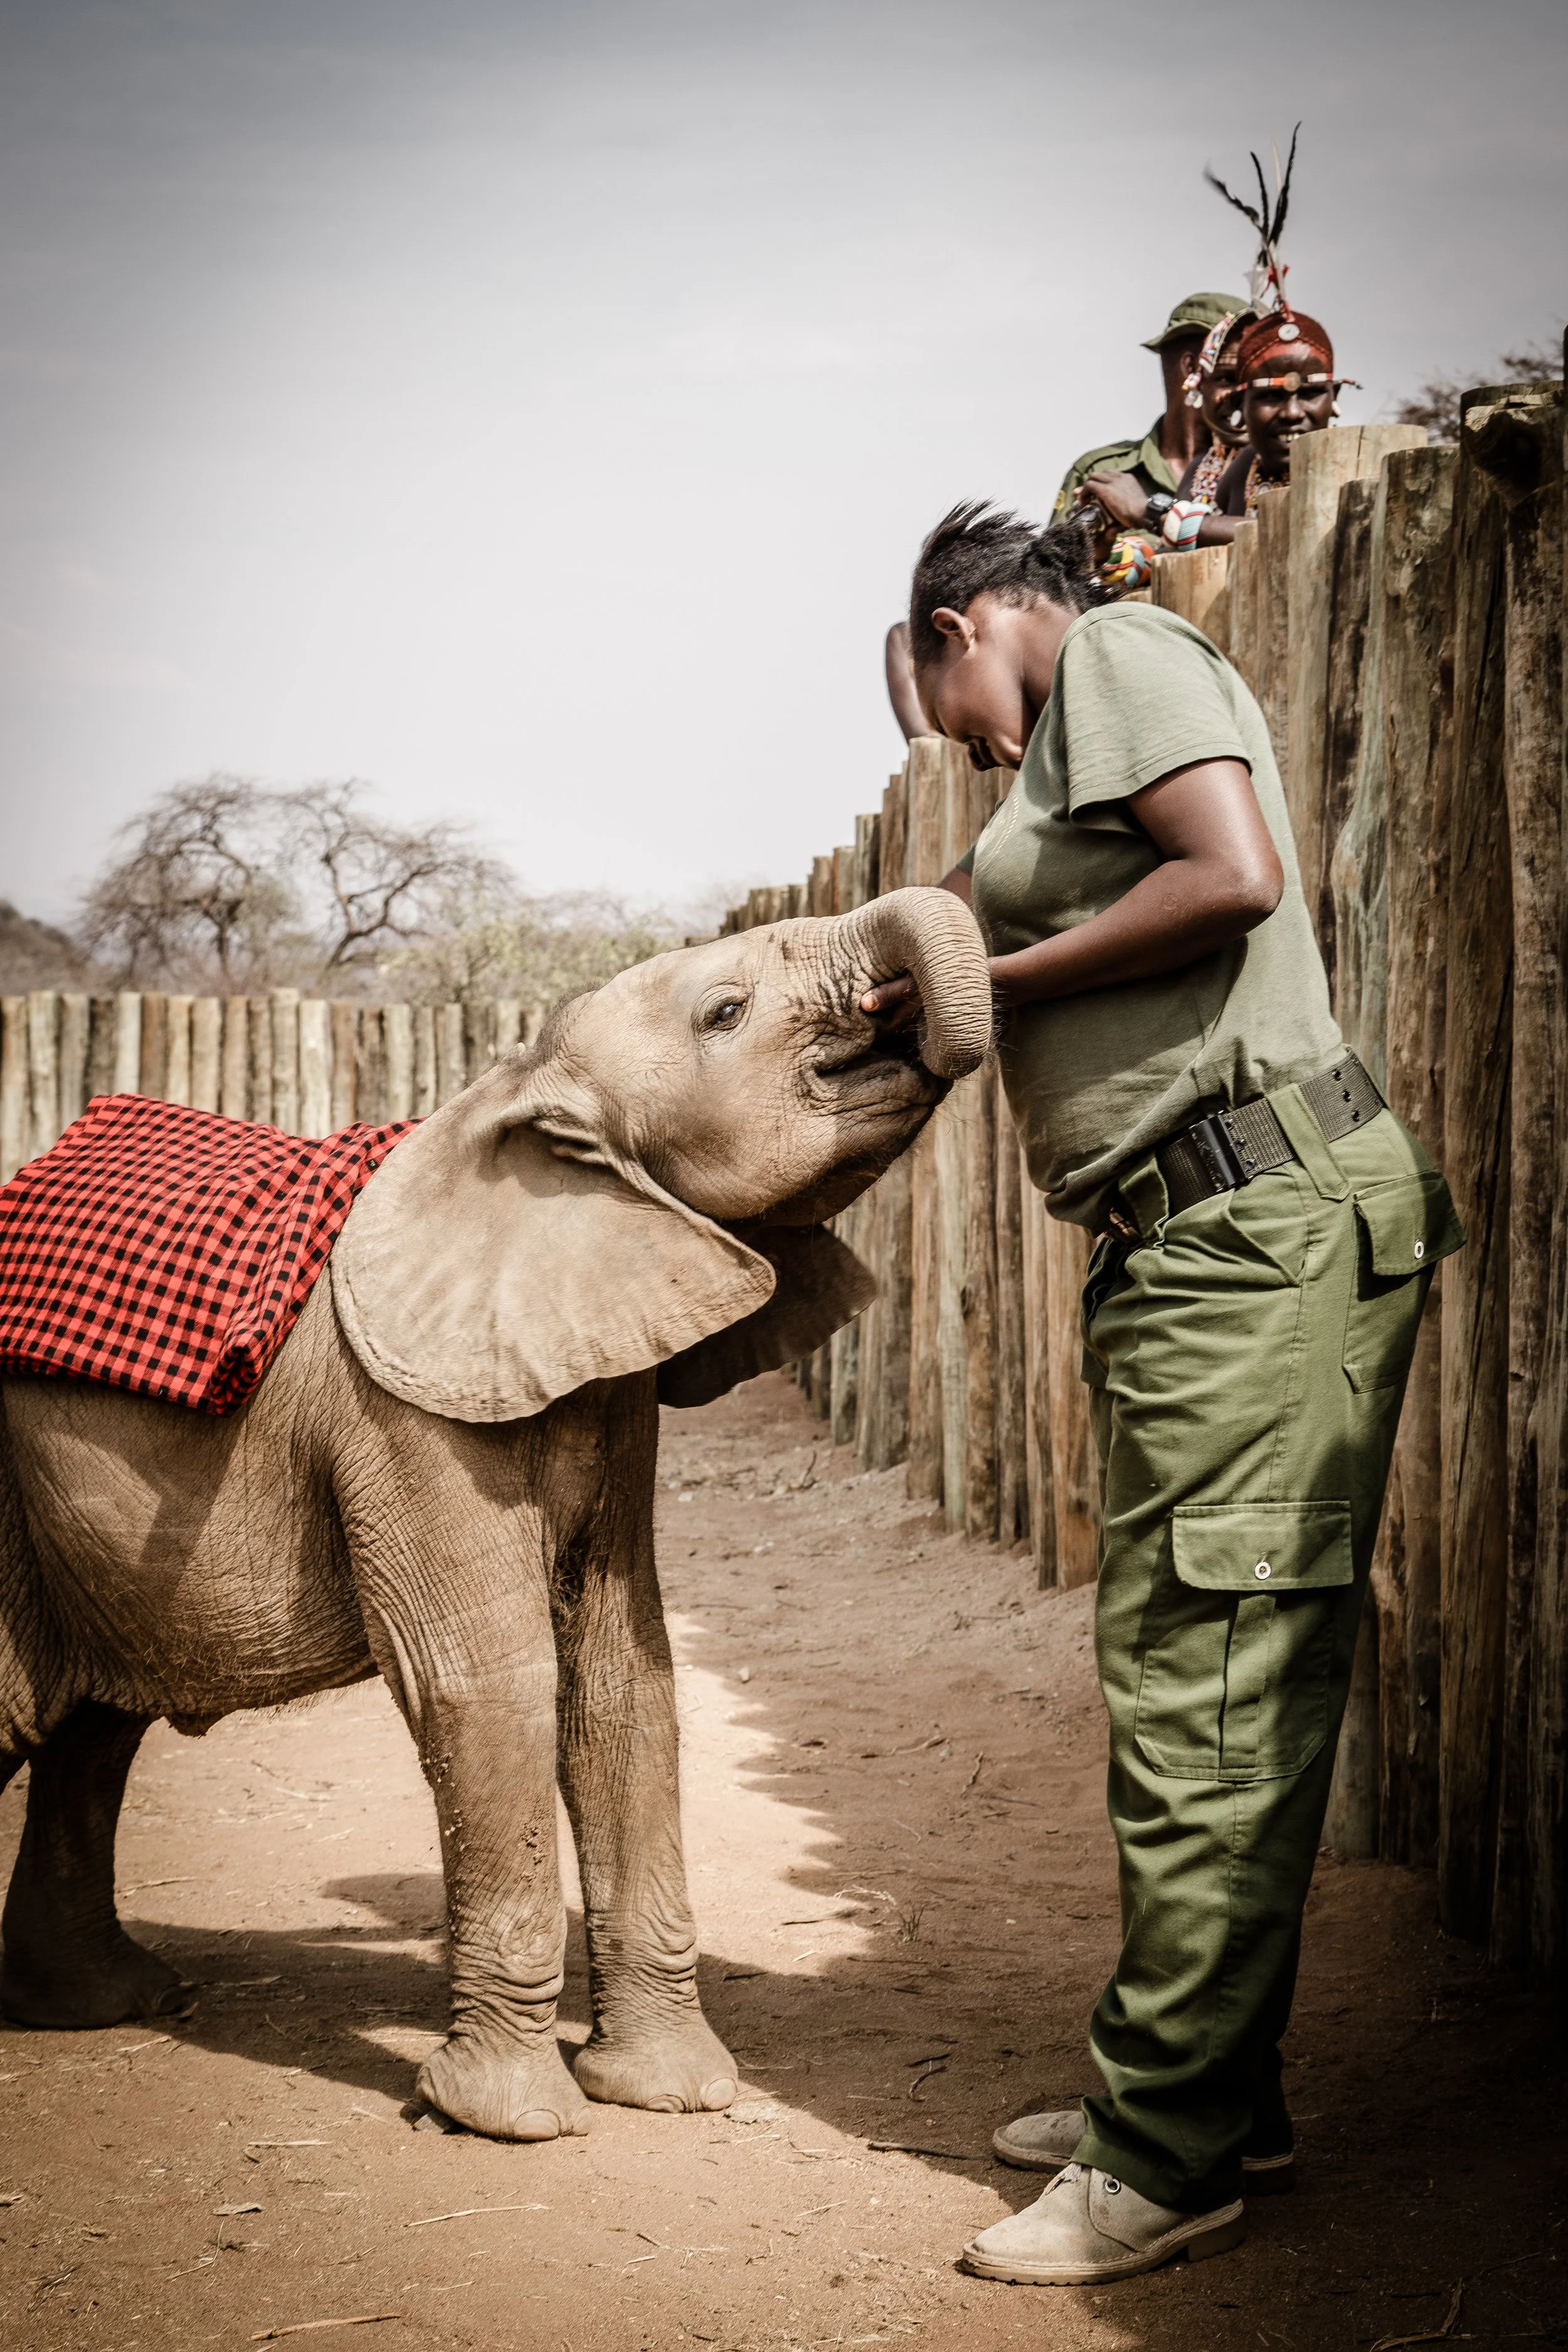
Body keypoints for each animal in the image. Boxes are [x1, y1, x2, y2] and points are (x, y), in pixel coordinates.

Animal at [0, 886, 990, 2141]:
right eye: (725, 1012)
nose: (899, 1004)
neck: (516, 1085)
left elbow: (622, 1676)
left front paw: (671, 2095)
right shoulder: (398, 1413)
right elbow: (488, 1680)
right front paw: (507, 2121)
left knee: (90, 1729)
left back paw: (112, 2004)